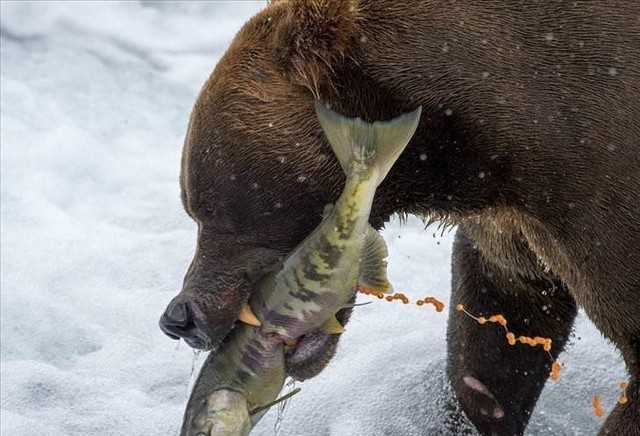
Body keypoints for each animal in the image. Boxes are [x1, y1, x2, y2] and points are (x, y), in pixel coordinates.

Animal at [158, 1, 636, 434]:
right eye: (193, 205)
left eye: (206, 208)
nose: (179, 318)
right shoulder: (515, 225)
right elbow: (494, 344)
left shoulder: (595, 194)